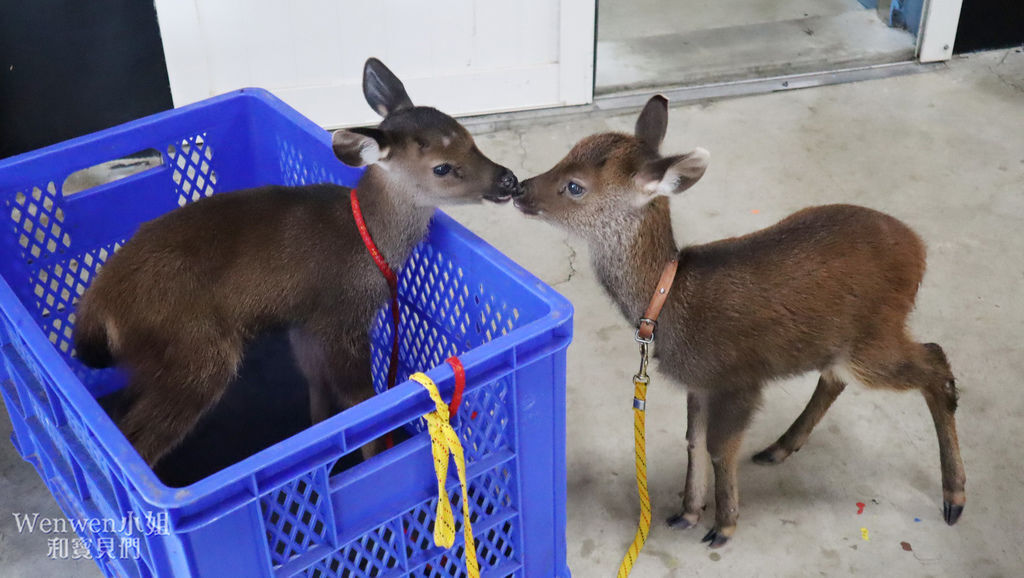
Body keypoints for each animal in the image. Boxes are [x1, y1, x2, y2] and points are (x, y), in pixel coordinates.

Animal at [72, 58, 520, 467]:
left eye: (470, 139)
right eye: (442, 167)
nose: (509, 180)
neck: (369, 245)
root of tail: (96, 309)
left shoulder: (305, 321)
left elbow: (317, 391)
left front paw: (323, 446)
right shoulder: (340, 318)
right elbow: (362, 405)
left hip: (155, 361)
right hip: (195, 350)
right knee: (140, 442)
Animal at [516, 93, 962, 545]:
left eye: (575, 186)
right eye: (565, 155)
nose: (518, 188)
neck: (668, 302)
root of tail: (919, 250)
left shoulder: (738, 378)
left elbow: (719, 447)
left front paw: (724, 524)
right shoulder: (699, 381)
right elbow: (693, 441)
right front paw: (687, 512)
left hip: (874, 335)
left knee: (935, 360)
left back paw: (954, 498)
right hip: (842, 343)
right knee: (838, 378)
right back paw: (778, 448)